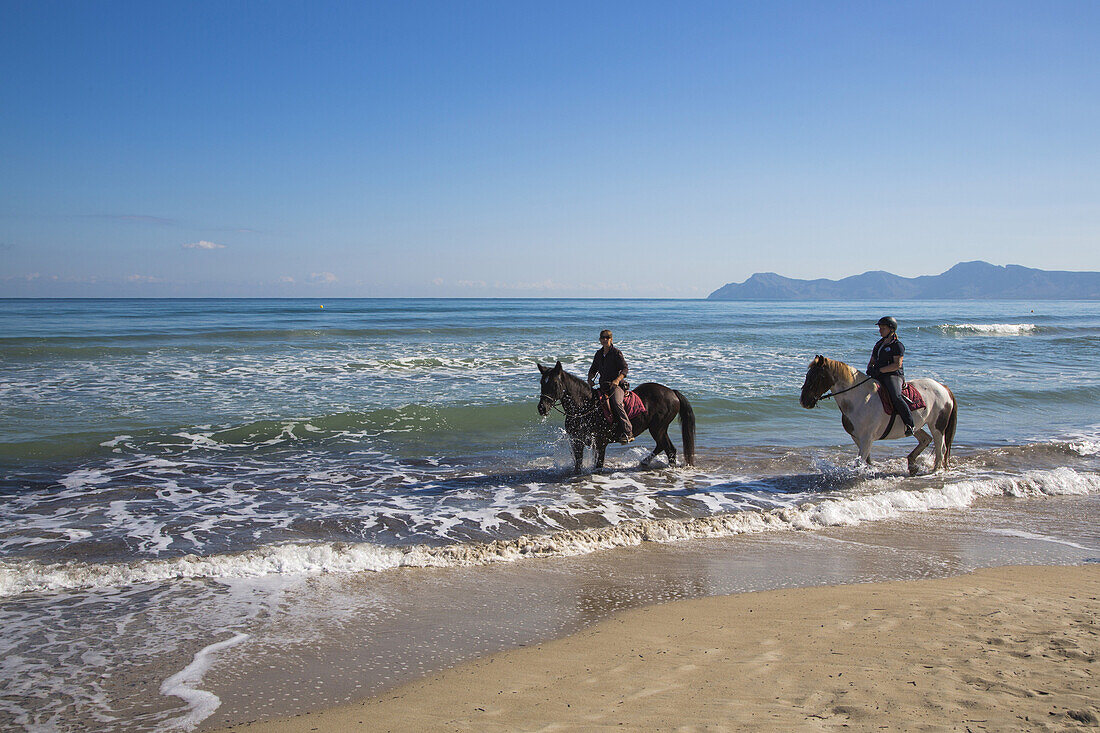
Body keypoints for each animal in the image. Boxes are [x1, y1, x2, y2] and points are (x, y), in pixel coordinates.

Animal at [534, 358, 695, 468]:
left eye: (555, 383)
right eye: (542, 382)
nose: (542, 408)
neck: (585, 407)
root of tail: (672, 392)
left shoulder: (600, 443)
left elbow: (598, 466)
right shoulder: (577, 442)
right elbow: (578, 466)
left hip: (658, 428)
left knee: (668, 448)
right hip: (659, 429)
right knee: (666, 448)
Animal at [800, 354, 954, 471]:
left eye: (817, 377)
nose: (804, 401)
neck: (859, 398)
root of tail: (943, 387)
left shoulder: (867, 438)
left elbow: (860, 463)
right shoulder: (857, 438)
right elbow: (866, 460)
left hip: (937, 426)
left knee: (941, 448)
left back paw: (934, 470)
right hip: (917, 426)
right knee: (926, 439)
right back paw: (912, 463)